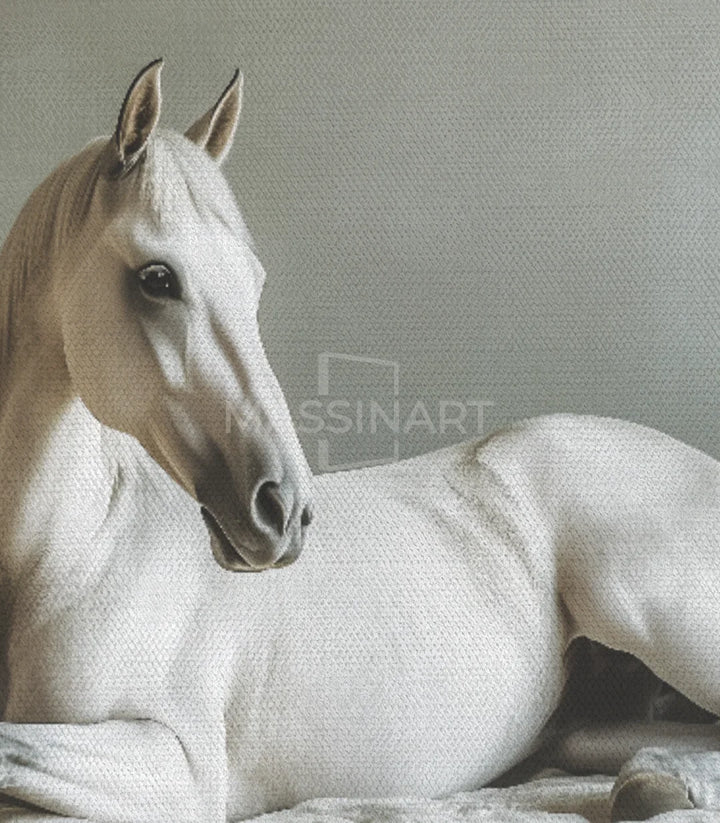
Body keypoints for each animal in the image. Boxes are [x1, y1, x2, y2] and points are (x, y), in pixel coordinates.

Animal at [1, 59, 720, 822]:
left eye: (254, 283)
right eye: (157, 277)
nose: (283, 511)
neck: (74, 543)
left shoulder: (180, 765)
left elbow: (11, 747)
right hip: (580, 730)